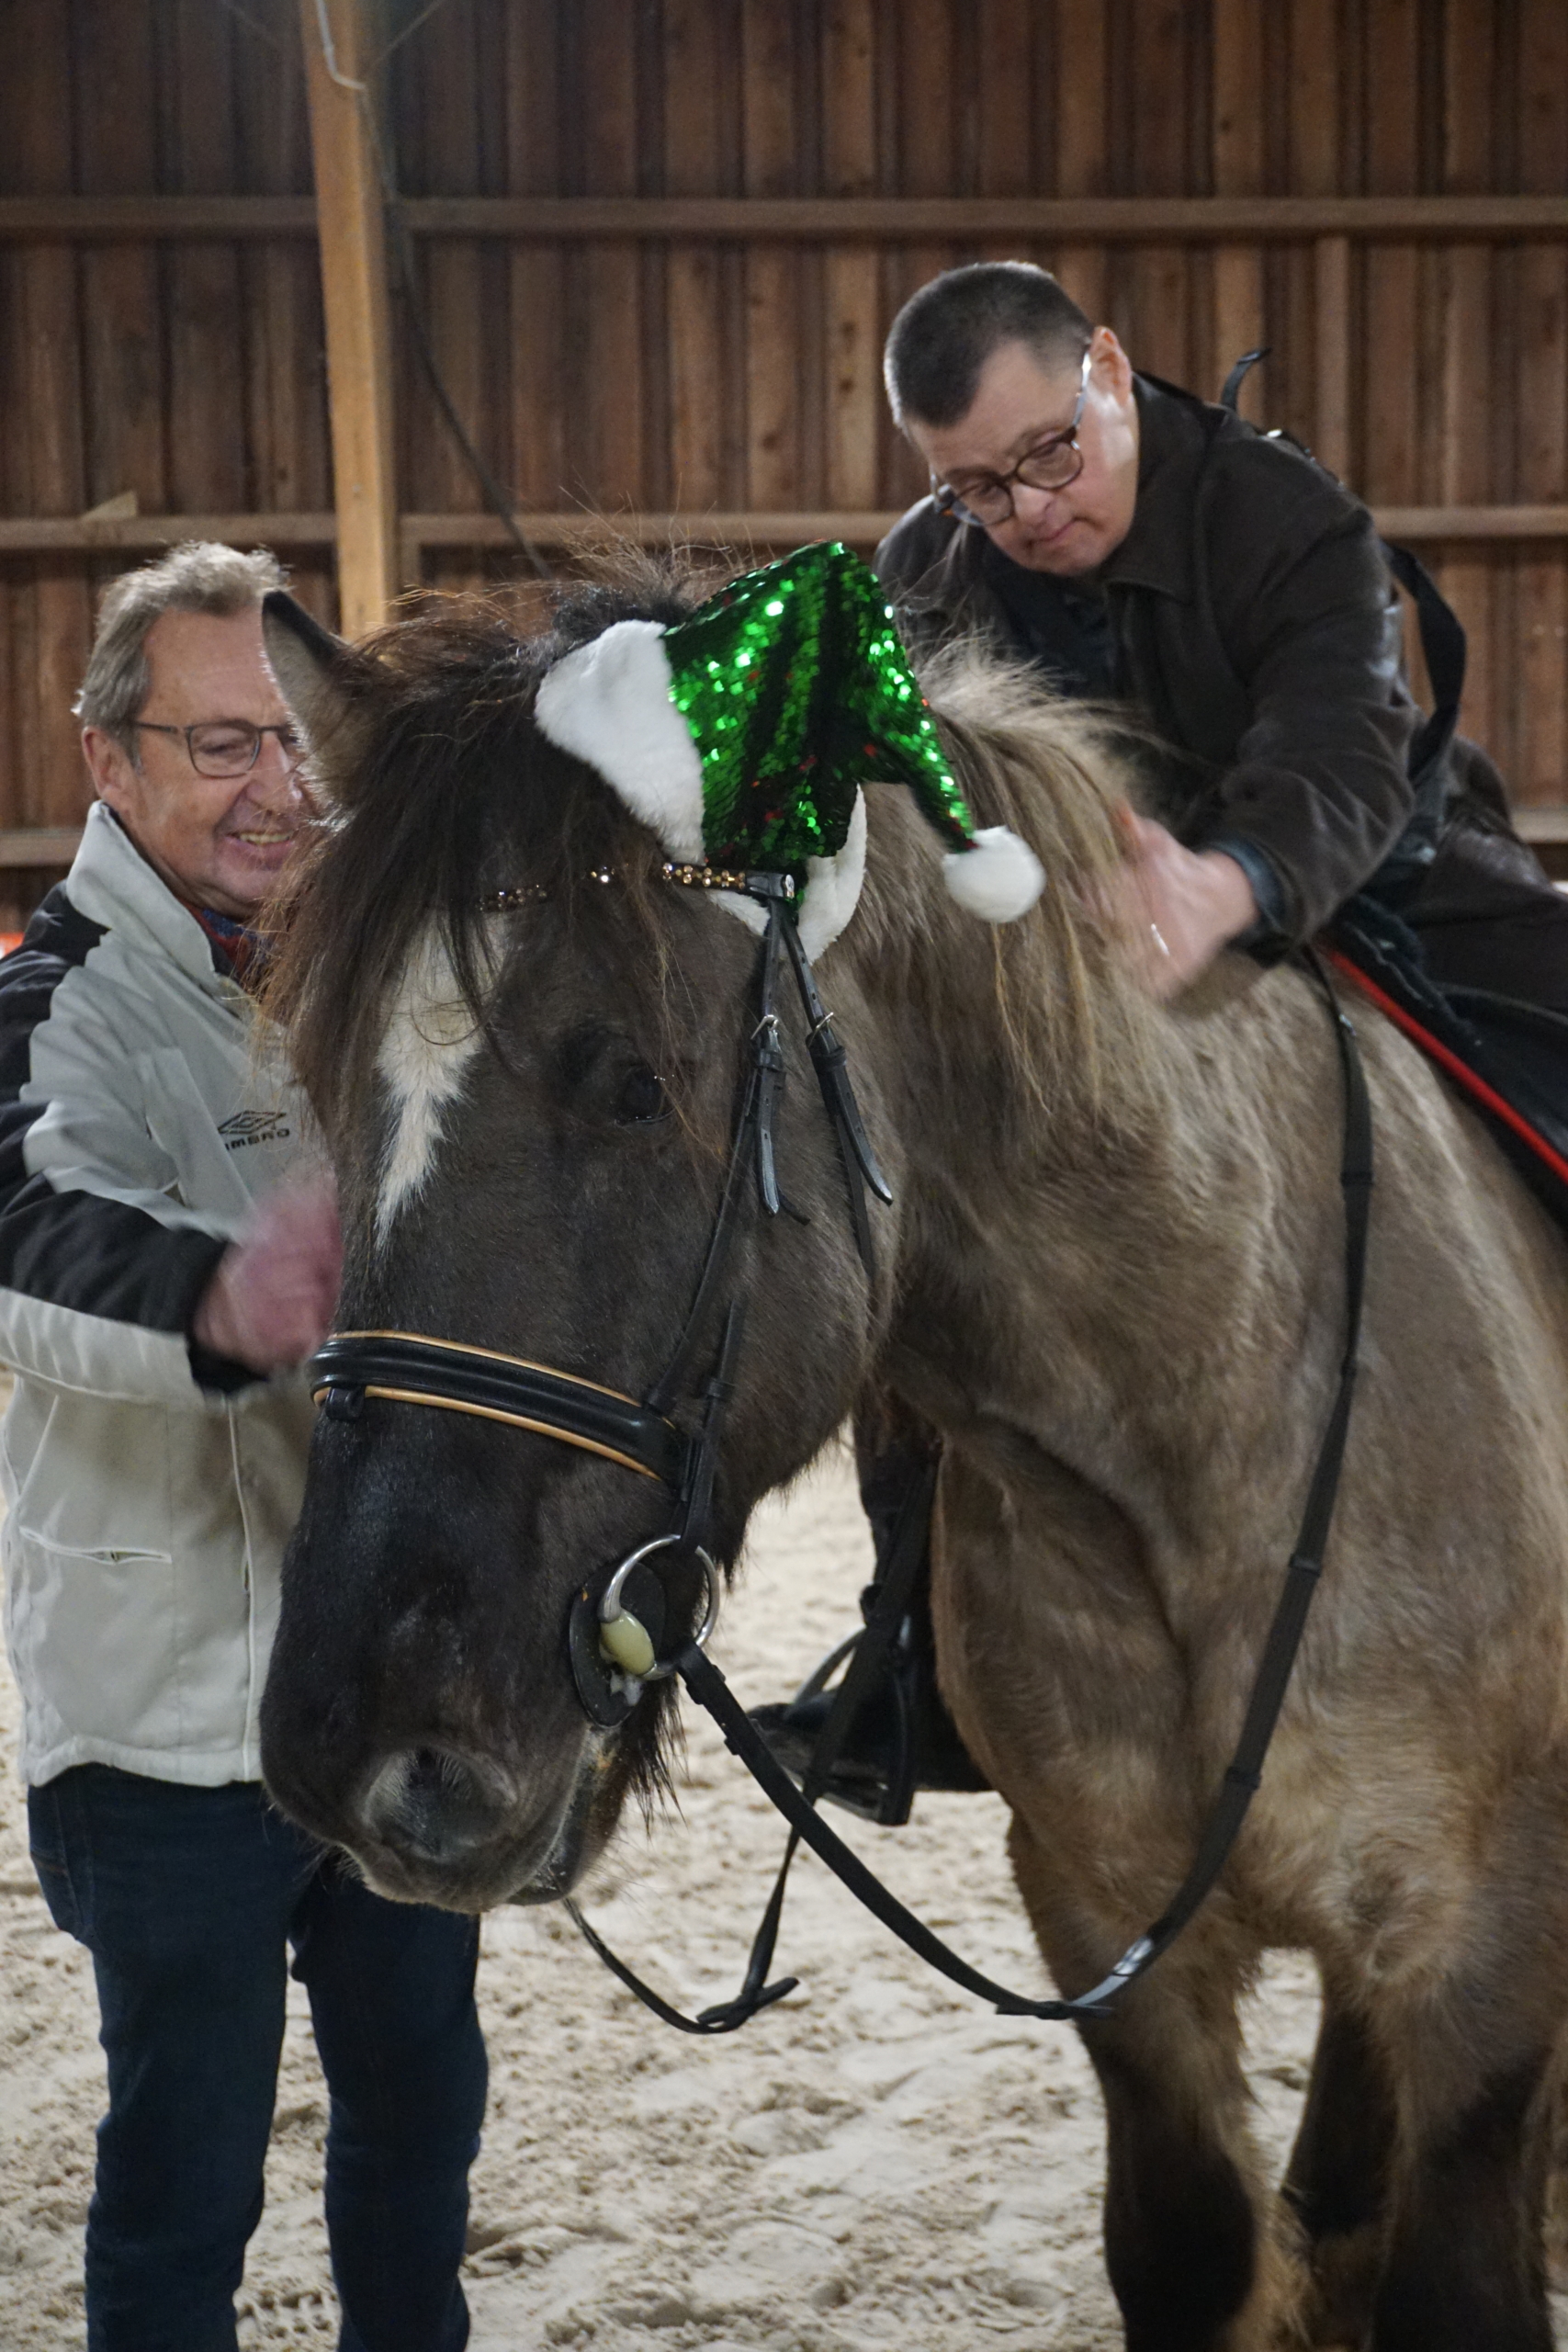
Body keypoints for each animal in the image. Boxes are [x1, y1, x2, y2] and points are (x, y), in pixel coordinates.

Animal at [257, 564, 1568, 2352]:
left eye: (629, 1083)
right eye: (329, 1095)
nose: (357, 1750)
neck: (1189, 1457)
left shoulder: (1477, 1971)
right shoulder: (1110, 1938)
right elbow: (1199, 2245)